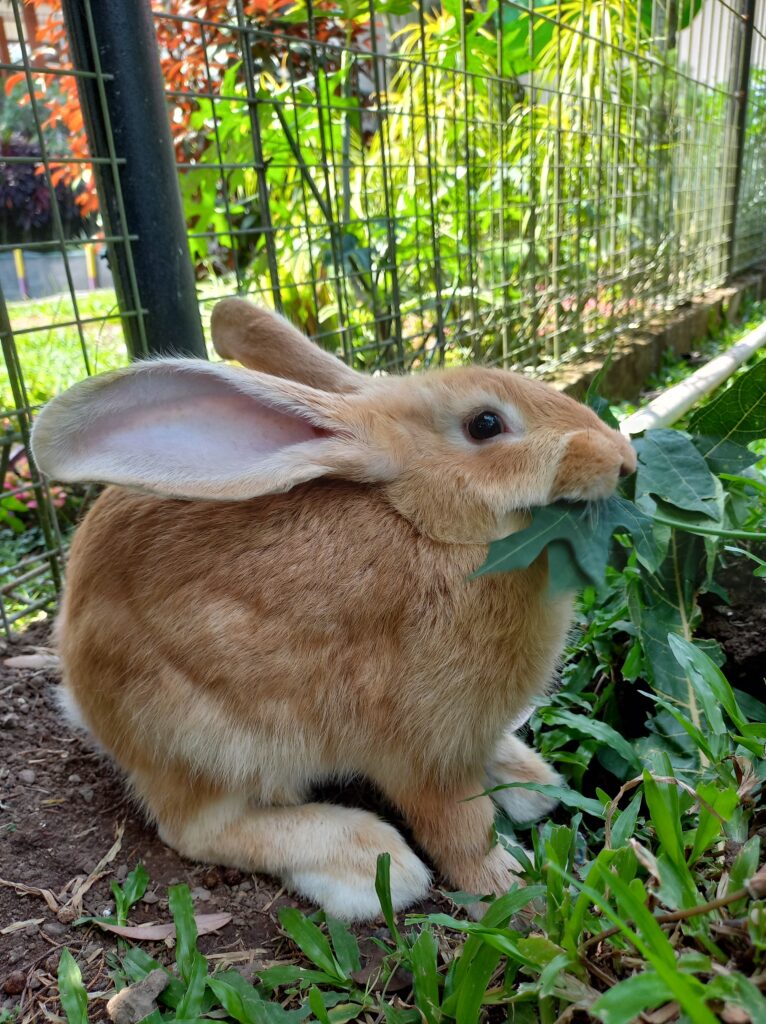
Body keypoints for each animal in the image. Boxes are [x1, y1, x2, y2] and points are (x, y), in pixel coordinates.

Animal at [31, 299, 636, 922]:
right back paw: (366, 860)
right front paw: (515, 892)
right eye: (485, 424)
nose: (624, 459)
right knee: (197, 829)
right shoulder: (424, 752)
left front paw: (526, 792)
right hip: (205, 738)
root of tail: (86, 697)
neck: (422, 524)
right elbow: (463, 829)